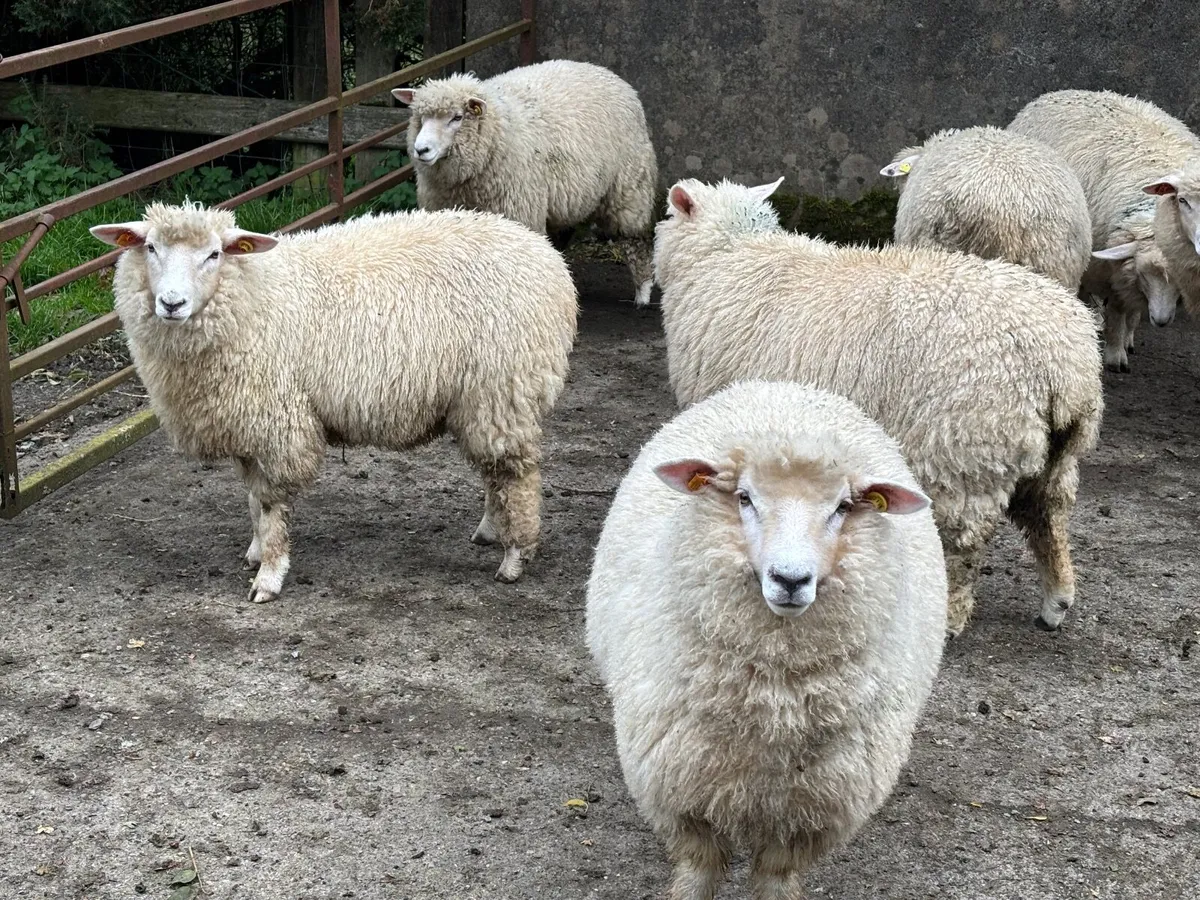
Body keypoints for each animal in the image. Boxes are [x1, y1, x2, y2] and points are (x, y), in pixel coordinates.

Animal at [90, 201, 578, 601]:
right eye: (150, 247)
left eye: (214, 255)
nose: (171, 303)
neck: (253, 291)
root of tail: (547, 257)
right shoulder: (245, 421)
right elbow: (251, 498)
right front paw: (254, 550)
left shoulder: (277, 421)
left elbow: (270, 504)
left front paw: (269, 575)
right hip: (481, 401)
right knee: (495, 471)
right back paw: (491, 530)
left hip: (503, 389)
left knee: (518, 476)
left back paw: (515, 557)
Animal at [392, 60, 658, 306]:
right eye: (420, 117)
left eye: (457, 118)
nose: (421, 150)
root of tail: (605, 71)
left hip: (630, 186)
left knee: (635, 239)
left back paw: (643, 293)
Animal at [586, 379, 947, 900]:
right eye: (744, 498)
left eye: (842, 507)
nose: (790, 579)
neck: (774, 707)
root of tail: (784, 386)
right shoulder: (684, 797)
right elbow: (698, 871)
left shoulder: (806, 816)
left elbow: (776, 880)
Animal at [654, 178, 1103, 637]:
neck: (729, 255)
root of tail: (1062, 364)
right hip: (1054, 455)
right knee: (1049, 517)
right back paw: (1056, 601)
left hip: (966, 452)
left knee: (967, 543)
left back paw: (950, 616)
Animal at [1009, 89, 1200, 370]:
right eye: (1145, 275)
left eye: (1180, 280)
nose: (1161, 320)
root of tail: (1061, 92)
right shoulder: (1112, 271)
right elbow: (1118, 309)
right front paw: (1114, 354)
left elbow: (1131, 308)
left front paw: (1127, 338)